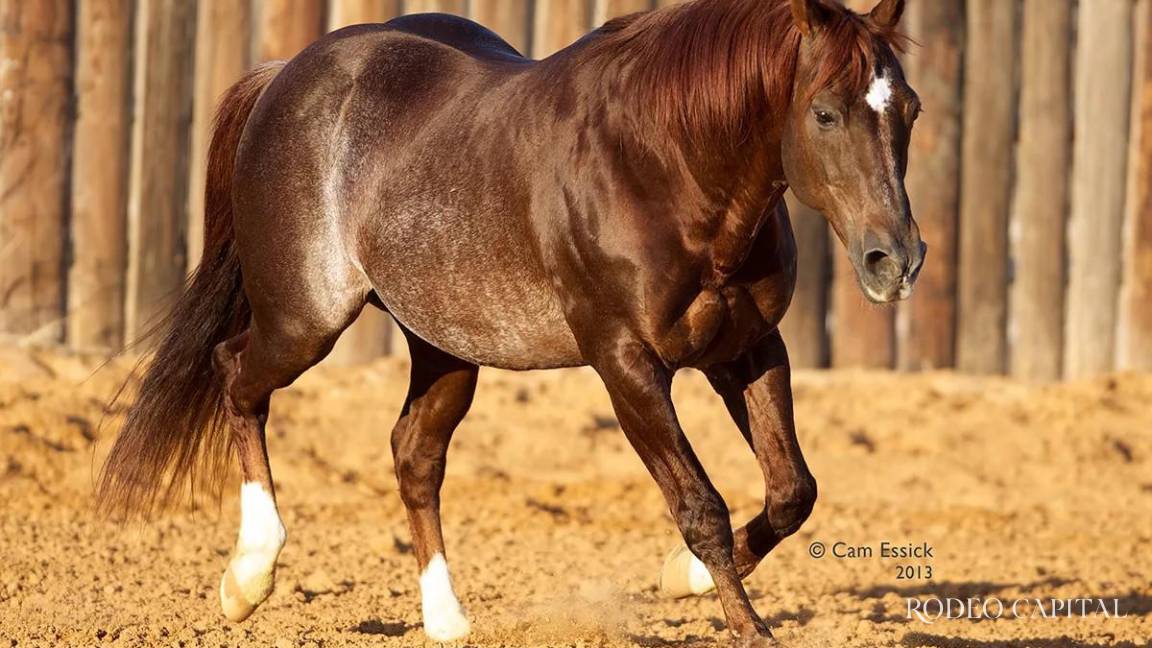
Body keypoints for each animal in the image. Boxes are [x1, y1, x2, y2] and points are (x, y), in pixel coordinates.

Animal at [97, 0, 922, 644]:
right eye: (825, 112)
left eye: (908, 109)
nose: (895, 260)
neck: (663, 167)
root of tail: (285, 73)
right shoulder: (625, 362)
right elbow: (701, 507)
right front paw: (742, 623)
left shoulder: (748, 347)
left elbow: (792, 491)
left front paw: (679, 577)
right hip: (306, 319)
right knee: (235, 374)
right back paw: (248, 578)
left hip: (443, 342)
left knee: (414, 453)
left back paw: (446, 620)